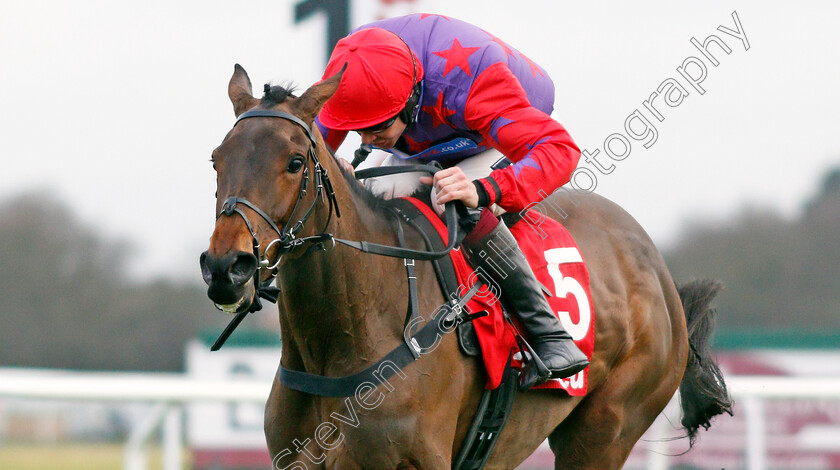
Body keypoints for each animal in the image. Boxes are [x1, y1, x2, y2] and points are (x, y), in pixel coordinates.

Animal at [202, 64, 728, 468]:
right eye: (215, 160)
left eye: (295, 162)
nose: (227, 268)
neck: (345, 334)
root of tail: (658, 269)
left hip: (608, 427)